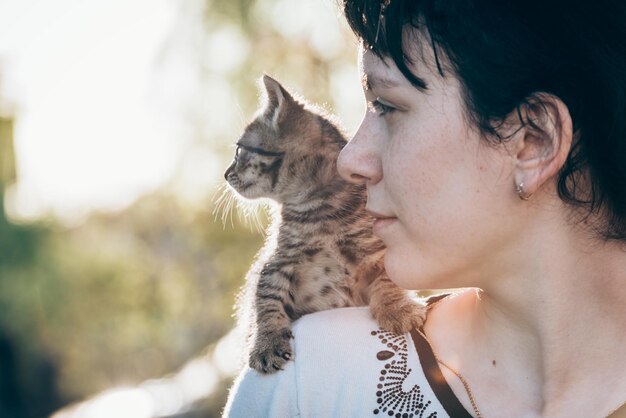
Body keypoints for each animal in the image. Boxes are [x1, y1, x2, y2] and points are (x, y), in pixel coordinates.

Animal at [224, 76, 424, 376]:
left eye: (238, 150)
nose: (226, 174)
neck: (319, 213)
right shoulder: (275, 263)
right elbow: (265, 299)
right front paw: (266, 342)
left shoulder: (378, 251)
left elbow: (389, 279)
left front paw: (397, 308)